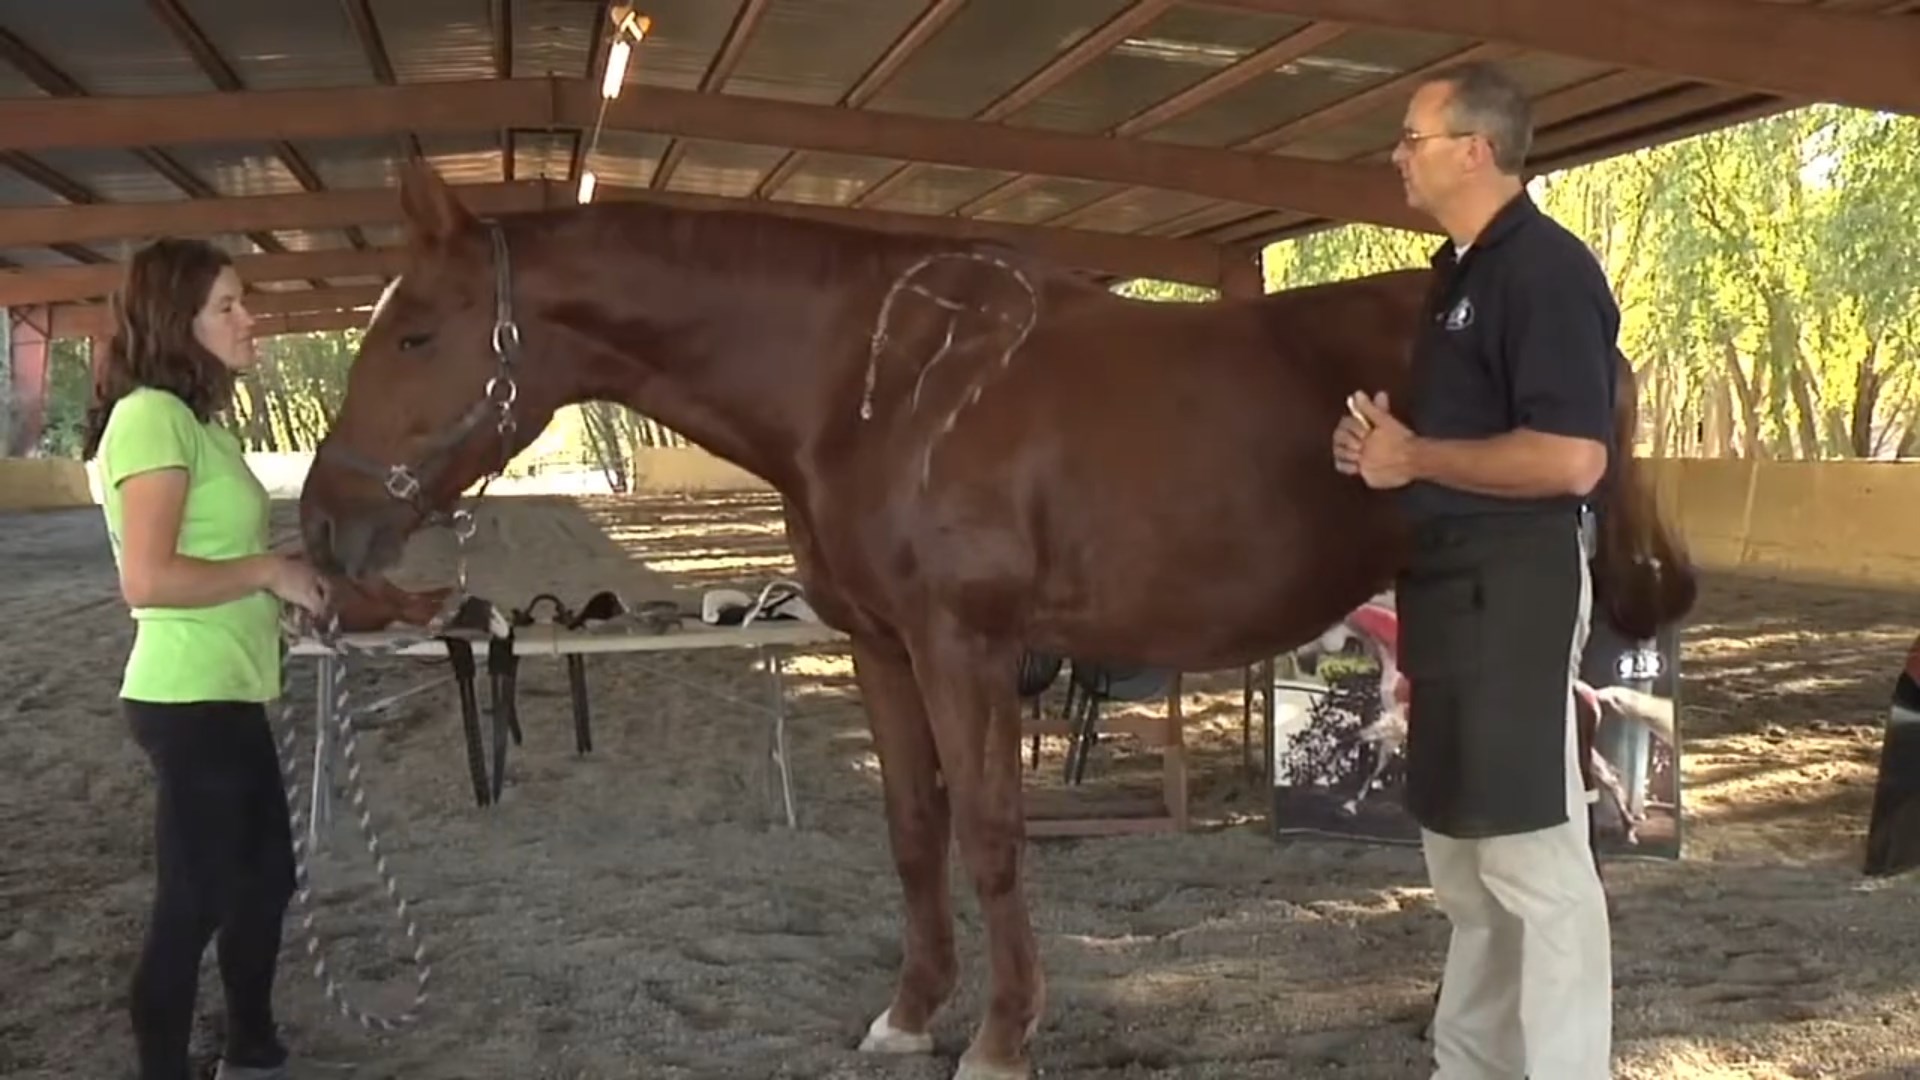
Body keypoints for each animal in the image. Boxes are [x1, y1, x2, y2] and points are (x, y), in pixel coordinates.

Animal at [299, 161, 1697, 1076]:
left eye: (414, 332)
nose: (323, 528)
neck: (876, 383)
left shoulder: (962, 645)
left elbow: (988, 837)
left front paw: (1002, 1038)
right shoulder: (879, 646)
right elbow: (915, 832)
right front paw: (910, 1014)